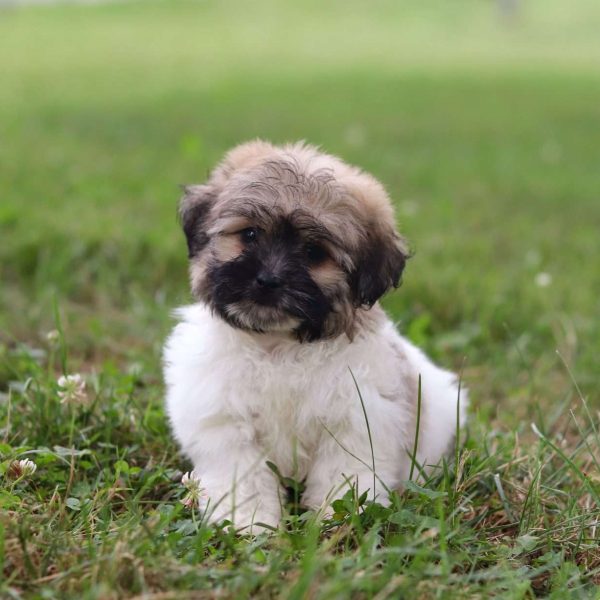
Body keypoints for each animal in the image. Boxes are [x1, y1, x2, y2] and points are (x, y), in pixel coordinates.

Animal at [165, 141, 468, 528]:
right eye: (249, 235)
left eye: (313, 253)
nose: (268, 280)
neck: (279, 344)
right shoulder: (227, 424)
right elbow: (243, 477)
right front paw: (249, 522)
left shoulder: (356, 420)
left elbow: (345, 475)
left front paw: (337, 520)